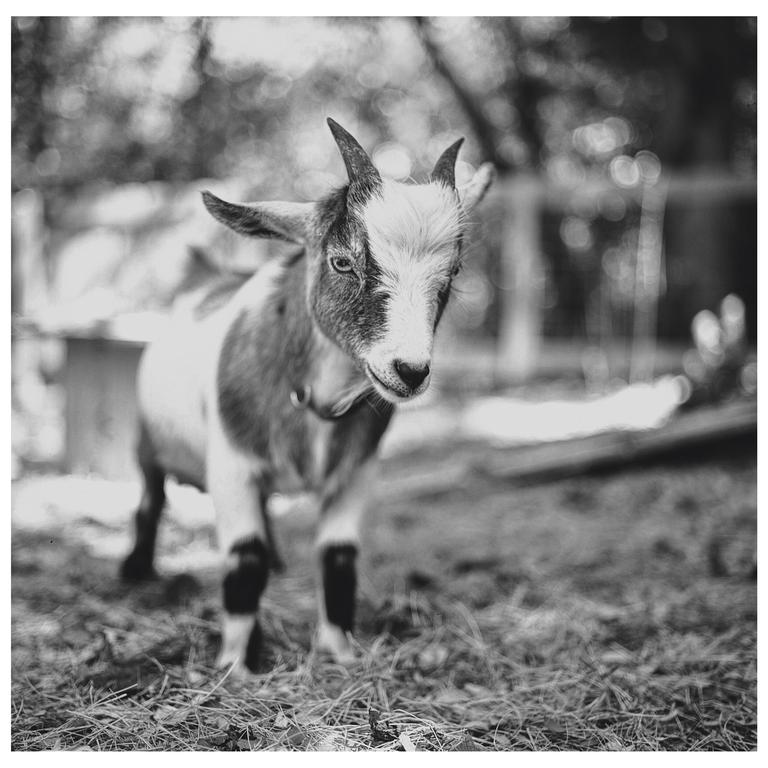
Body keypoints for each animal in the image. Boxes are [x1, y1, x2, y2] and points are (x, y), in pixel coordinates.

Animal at [121, 118, 494, 674]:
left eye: (451, 275)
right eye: (341, 262)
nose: (409, 371)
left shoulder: (356, 472)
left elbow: (339, 558)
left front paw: (338, 652)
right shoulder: (231, 466)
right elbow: (244, 559)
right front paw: (235, 667)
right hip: (147, 439)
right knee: (150, 497)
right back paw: (135, 568)